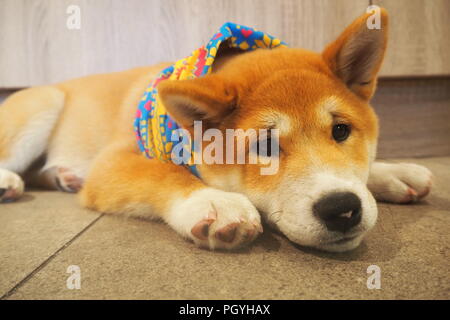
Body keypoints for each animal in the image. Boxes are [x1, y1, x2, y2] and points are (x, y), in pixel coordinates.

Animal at [0, 10, 432, 251]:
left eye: (341, 131)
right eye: (265, 146)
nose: (341, 208)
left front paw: (392, 172)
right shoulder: (114, 161)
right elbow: (164, 173)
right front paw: (213, 201)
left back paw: (63, 176)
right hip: (43, 105)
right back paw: (10, 182)